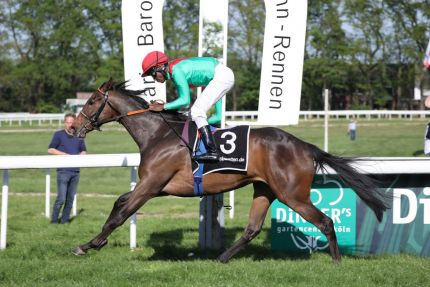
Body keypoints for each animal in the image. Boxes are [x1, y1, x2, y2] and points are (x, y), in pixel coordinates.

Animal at [73, 79, 390, 264]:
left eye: (91, 101)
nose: (73, 128)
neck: (158, 134)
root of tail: (307, 147)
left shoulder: (151, 185)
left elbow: (123, 212)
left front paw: (89, 245)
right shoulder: (157, 186)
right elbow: (120, 203)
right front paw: (94, 242)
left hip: (292, 194)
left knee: (325, 221)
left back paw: (337, 263)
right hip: (265, 189)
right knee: (252, 229)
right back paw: (222, 258)